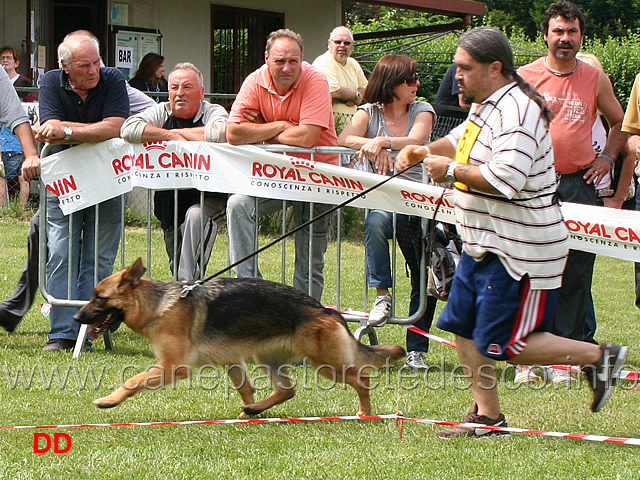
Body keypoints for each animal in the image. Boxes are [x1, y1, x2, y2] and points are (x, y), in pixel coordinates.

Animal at [75, 258, 404, 416]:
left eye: (99, 298)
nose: (77, 318)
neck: (158, 305)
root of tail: (324, 309)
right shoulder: (232, 361)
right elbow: (245, 388)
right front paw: (249, 409)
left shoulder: (173, 366)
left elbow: (133, 381)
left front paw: (109, 401)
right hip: (267, 358)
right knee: (287, 390)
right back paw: (255, 410)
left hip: (324, 363)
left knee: (362, 379)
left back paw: (364, 412)